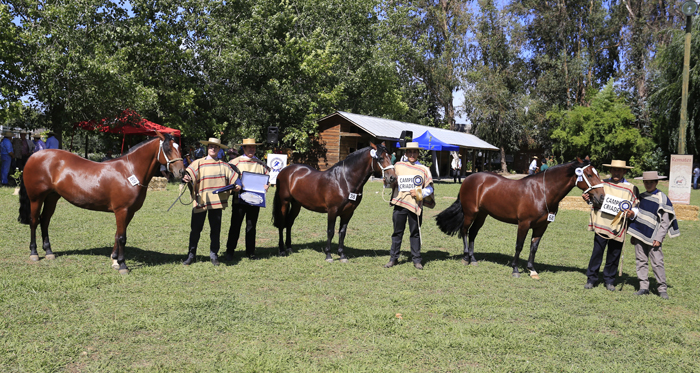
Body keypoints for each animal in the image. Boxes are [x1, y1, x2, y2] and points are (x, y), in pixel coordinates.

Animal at [17, 132, 185, 274]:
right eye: (168, 149)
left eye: (179, 148)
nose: (181, 172)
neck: (129, 172)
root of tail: (34, 156)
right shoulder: (122, 210)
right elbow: (122, 237)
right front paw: (122, 265)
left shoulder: (129, 212)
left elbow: (117, 235)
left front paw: (115, 260)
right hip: (36, 198)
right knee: (34, 221)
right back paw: (34, 253)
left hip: (52, 197)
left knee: (45, 221)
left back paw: (49, 252)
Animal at [434, 156, 604, 276]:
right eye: (589, 174)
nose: (601, 197)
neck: (542, 192)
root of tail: (468, 179)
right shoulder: (524, 224)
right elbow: (519, 245)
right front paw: (515, 269)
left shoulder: (541, 226)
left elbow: (534, 247)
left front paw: (531, 269)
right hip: (470, 213)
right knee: (464, 231)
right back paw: (465, 258)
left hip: (482, 215)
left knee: (473, 233)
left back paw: (473, 259)